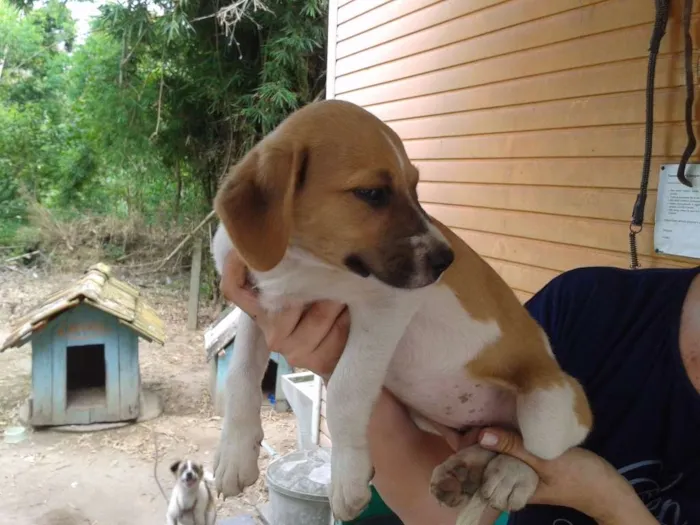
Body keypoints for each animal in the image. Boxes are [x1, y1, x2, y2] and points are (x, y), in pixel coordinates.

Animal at [211, 100, 592, 520]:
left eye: (415, 187)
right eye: (372, 193)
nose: (446, 262)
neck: (300, 263)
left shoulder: (387, 306)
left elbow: (344, 392)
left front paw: (348, 478)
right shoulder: (259, 307)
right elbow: (241, 376)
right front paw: (234, 456)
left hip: (548, 407)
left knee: (545, 454)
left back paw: (512, 476)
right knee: (490, 438)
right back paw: (464, 468)